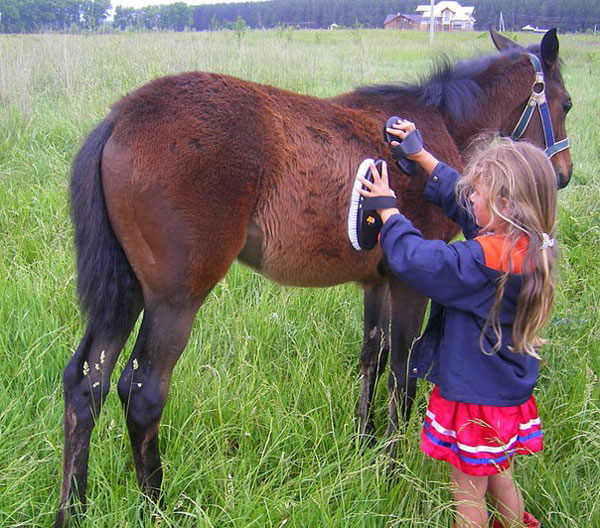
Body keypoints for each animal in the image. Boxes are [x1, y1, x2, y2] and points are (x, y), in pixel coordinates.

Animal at [55, 29, 572, 528]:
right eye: (566, 103)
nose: (563, 173)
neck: (437, 123)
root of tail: (120, 117)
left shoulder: (378, 281)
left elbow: (372, 356)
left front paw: (364, 446)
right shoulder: (411, 283)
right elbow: (401, 375)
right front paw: (392, 470)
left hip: (126, 294)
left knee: (86, 385)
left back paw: (73, 509)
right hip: (174, 300)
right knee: (142, 393)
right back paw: (156, 507)